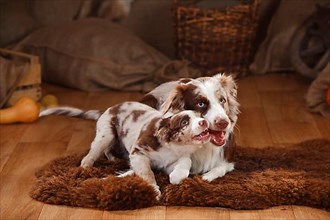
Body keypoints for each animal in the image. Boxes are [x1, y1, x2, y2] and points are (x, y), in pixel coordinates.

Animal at [78, 101, 210, 198]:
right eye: (184, 122)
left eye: (200, 116)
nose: (204, 122)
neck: (172, 147)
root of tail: (111, 108)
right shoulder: (138, 152)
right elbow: (147, 172)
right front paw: (154, 190)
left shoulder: (171, 161)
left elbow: (186, 161)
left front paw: (176, 177)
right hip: (106, 133)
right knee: (93, 151)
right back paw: (86, 167)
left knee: (107, 149)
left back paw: (113, 159)